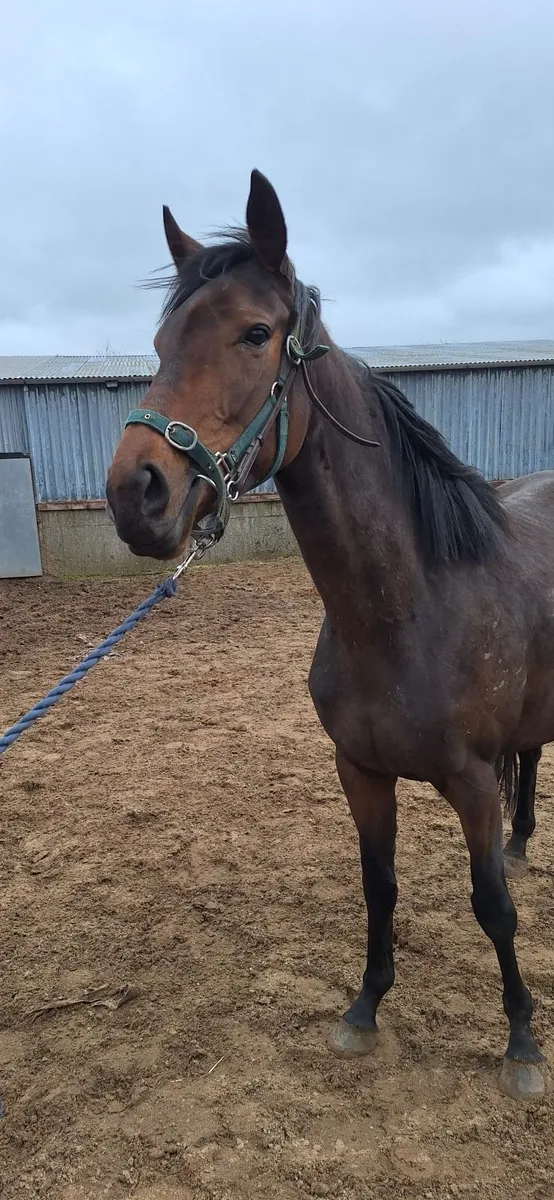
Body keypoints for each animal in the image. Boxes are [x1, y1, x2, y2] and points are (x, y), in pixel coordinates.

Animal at [107, 169, 554, 1101]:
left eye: (255, 333)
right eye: (161, 340)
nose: (137, 492)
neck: (404, 612)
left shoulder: (471, 782)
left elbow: (492, 906)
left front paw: (522, 1046)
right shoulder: (359, 770)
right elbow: (379, 886)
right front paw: (365, 1008)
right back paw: (528, 842)